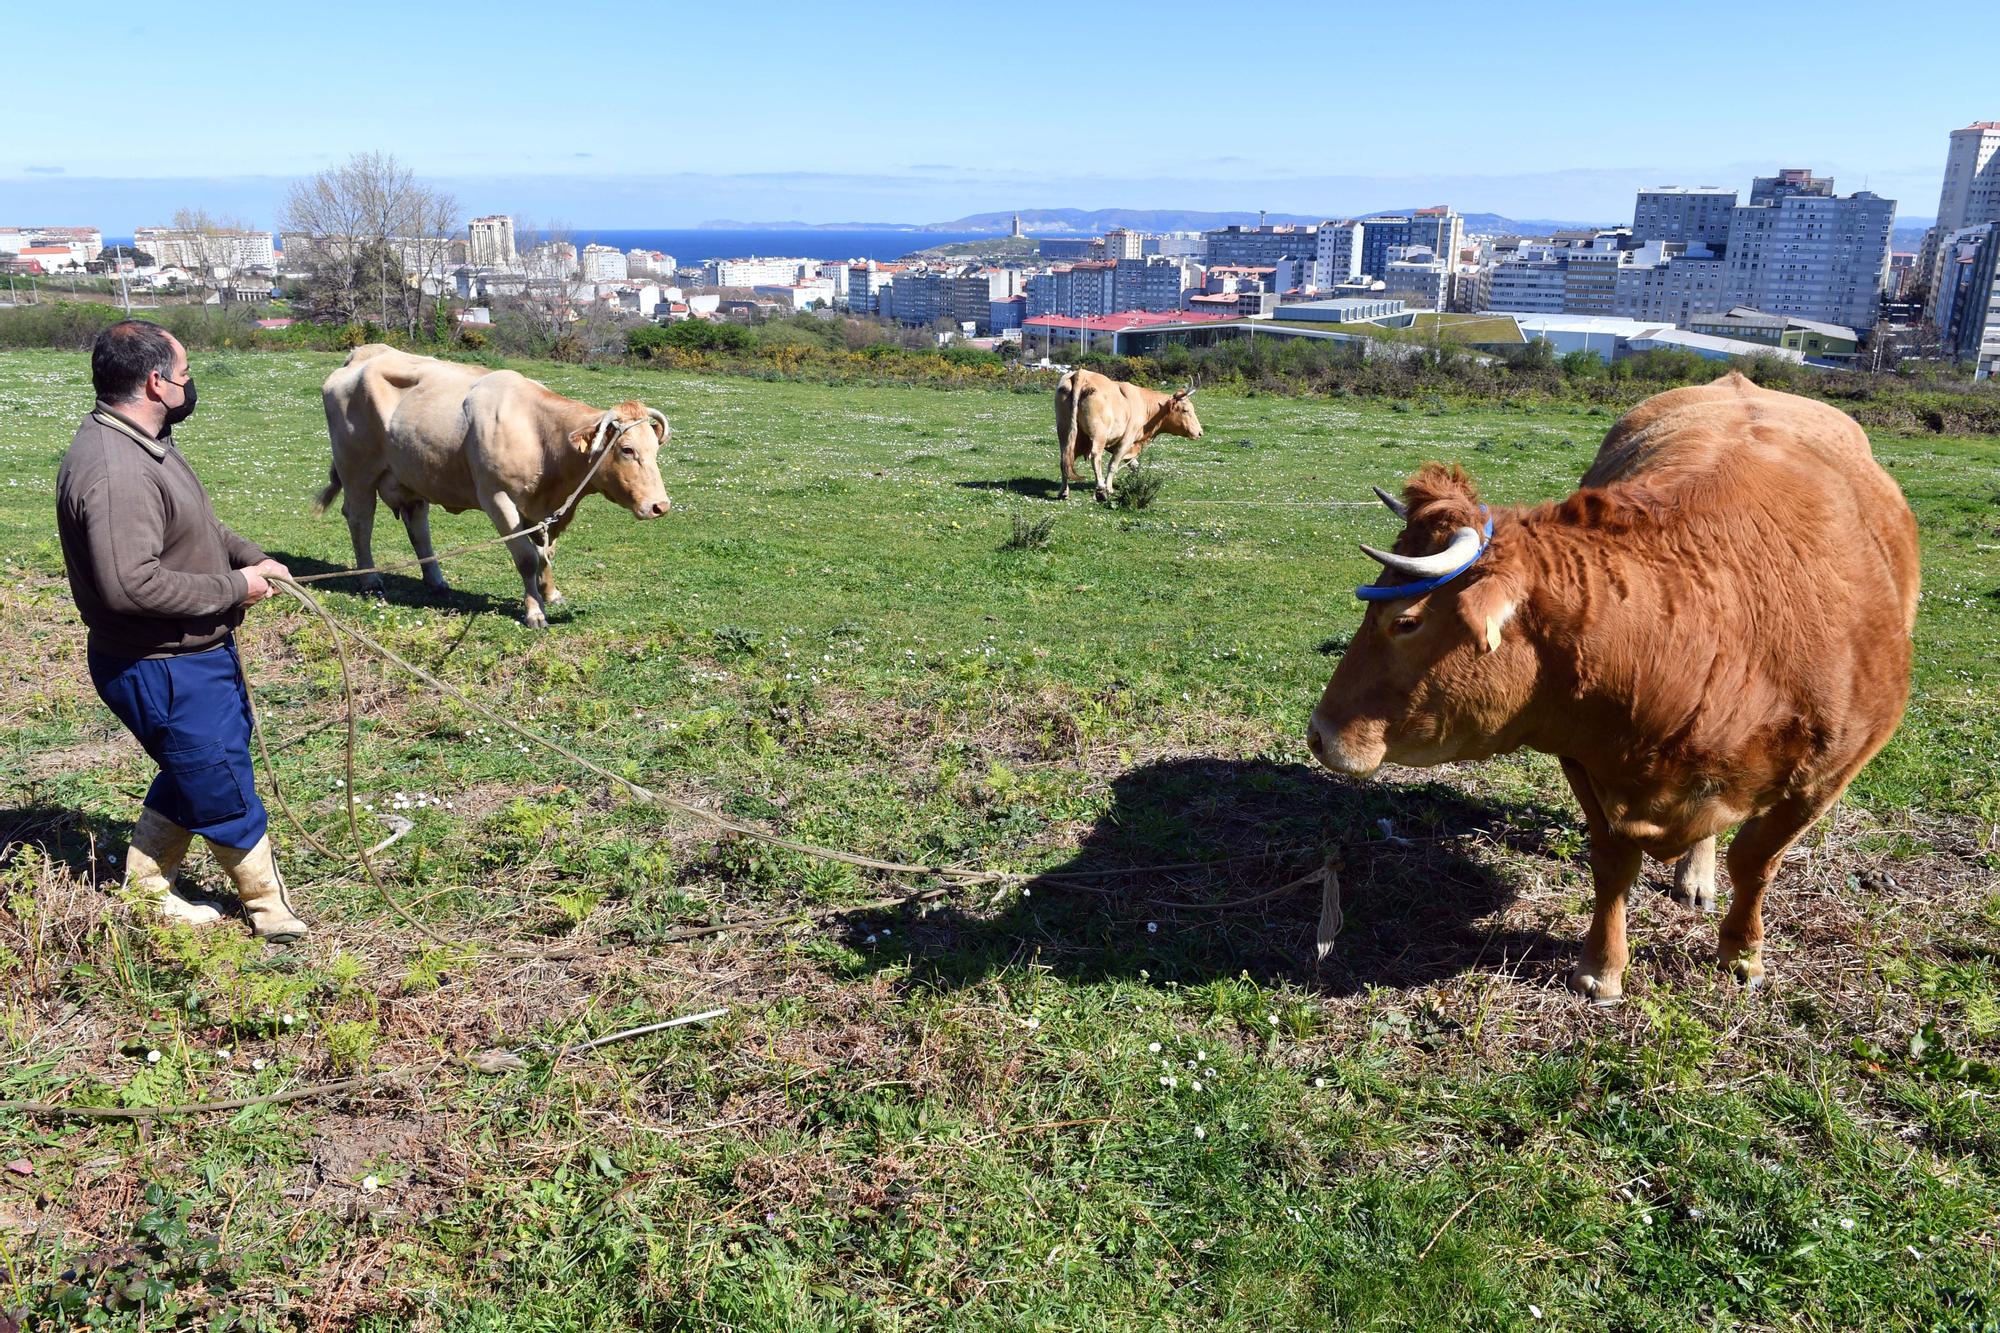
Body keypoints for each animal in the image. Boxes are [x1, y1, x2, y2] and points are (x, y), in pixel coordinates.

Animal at [1056, 366, 1208, 500]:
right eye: (1185, 410)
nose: (1200, 433)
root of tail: (1082, 374)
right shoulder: (1127, 440)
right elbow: (1113, 464)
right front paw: (1109, 488)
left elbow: (1134, 465)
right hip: (1099, 435)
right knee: (1095, 457)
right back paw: (1101, 489)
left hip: (1064, 431)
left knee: (1065, 458)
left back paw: (1064, 491)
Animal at [1304, 370, 1912, 996]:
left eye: (1405, 621)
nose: (1319, 733)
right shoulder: (1584, 752)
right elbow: (1614, 862)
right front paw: (1602, 966)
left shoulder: (1829, 774)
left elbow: (1755, 861)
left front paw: (1743, 953)